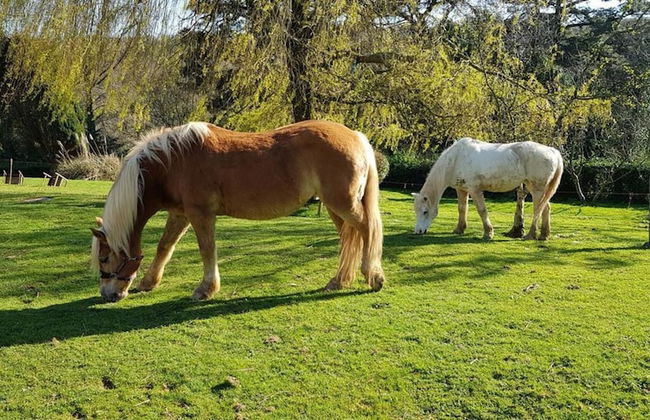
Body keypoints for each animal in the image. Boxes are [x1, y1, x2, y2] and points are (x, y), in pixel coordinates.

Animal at [90, 120, 385, 302]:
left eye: (104, 259)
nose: (107, 294)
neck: (174, 161)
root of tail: (356, 136)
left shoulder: (200, 215)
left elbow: (207, 249)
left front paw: (205, 289)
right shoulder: (180, 215)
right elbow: (165, 247)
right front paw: (149, 282)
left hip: (344, 206)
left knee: (367, 230)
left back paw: (373, 276)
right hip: (337, 209)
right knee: (350, 239)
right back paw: (339, 281)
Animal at [412, 137, 563, 240]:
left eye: (425, 212)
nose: (418, 231)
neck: (456, 159)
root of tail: (552, 151)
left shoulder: (475, 190)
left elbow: (482, 210)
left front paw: (488, 233)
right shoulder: (461, 190)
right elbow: (462, 209)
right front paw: (459, 229)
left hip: (537, 189)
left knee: (538, 209)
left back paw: (531, 235)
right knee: (546, 208)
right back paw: (544, 235)